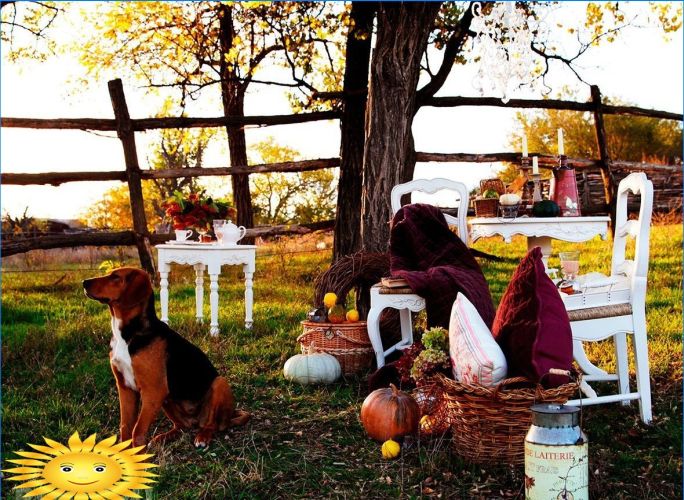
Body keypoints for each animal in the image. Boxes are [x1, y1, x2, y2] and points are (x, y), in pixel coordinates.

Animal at [83, 268, 248, 448]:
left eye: (115, 277)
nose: (84, 282)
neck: (127, 335)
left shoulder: (154, 391)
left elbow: (137, 431)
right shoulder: (125, 387)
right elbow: (125, 427)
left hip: (219, 383)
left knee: (211, 424)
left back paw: (203, 437)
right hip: (167, 400)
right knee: (182, 426)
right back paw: (164, 437)